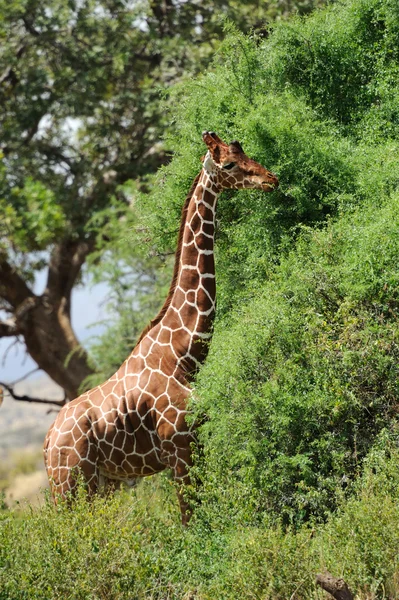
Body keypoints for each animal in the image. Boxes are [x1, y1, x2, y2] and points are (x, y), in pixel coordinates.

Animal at [43, 130, 278, 520]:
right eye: (229, 164)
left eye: (246, 152)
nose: (270, 179)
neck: (183, 355)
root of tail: (47, 442)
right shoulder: (179, 447)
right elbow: (189, 520)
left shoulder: (198, 440)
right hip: (71, 486)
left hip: (103, 484)